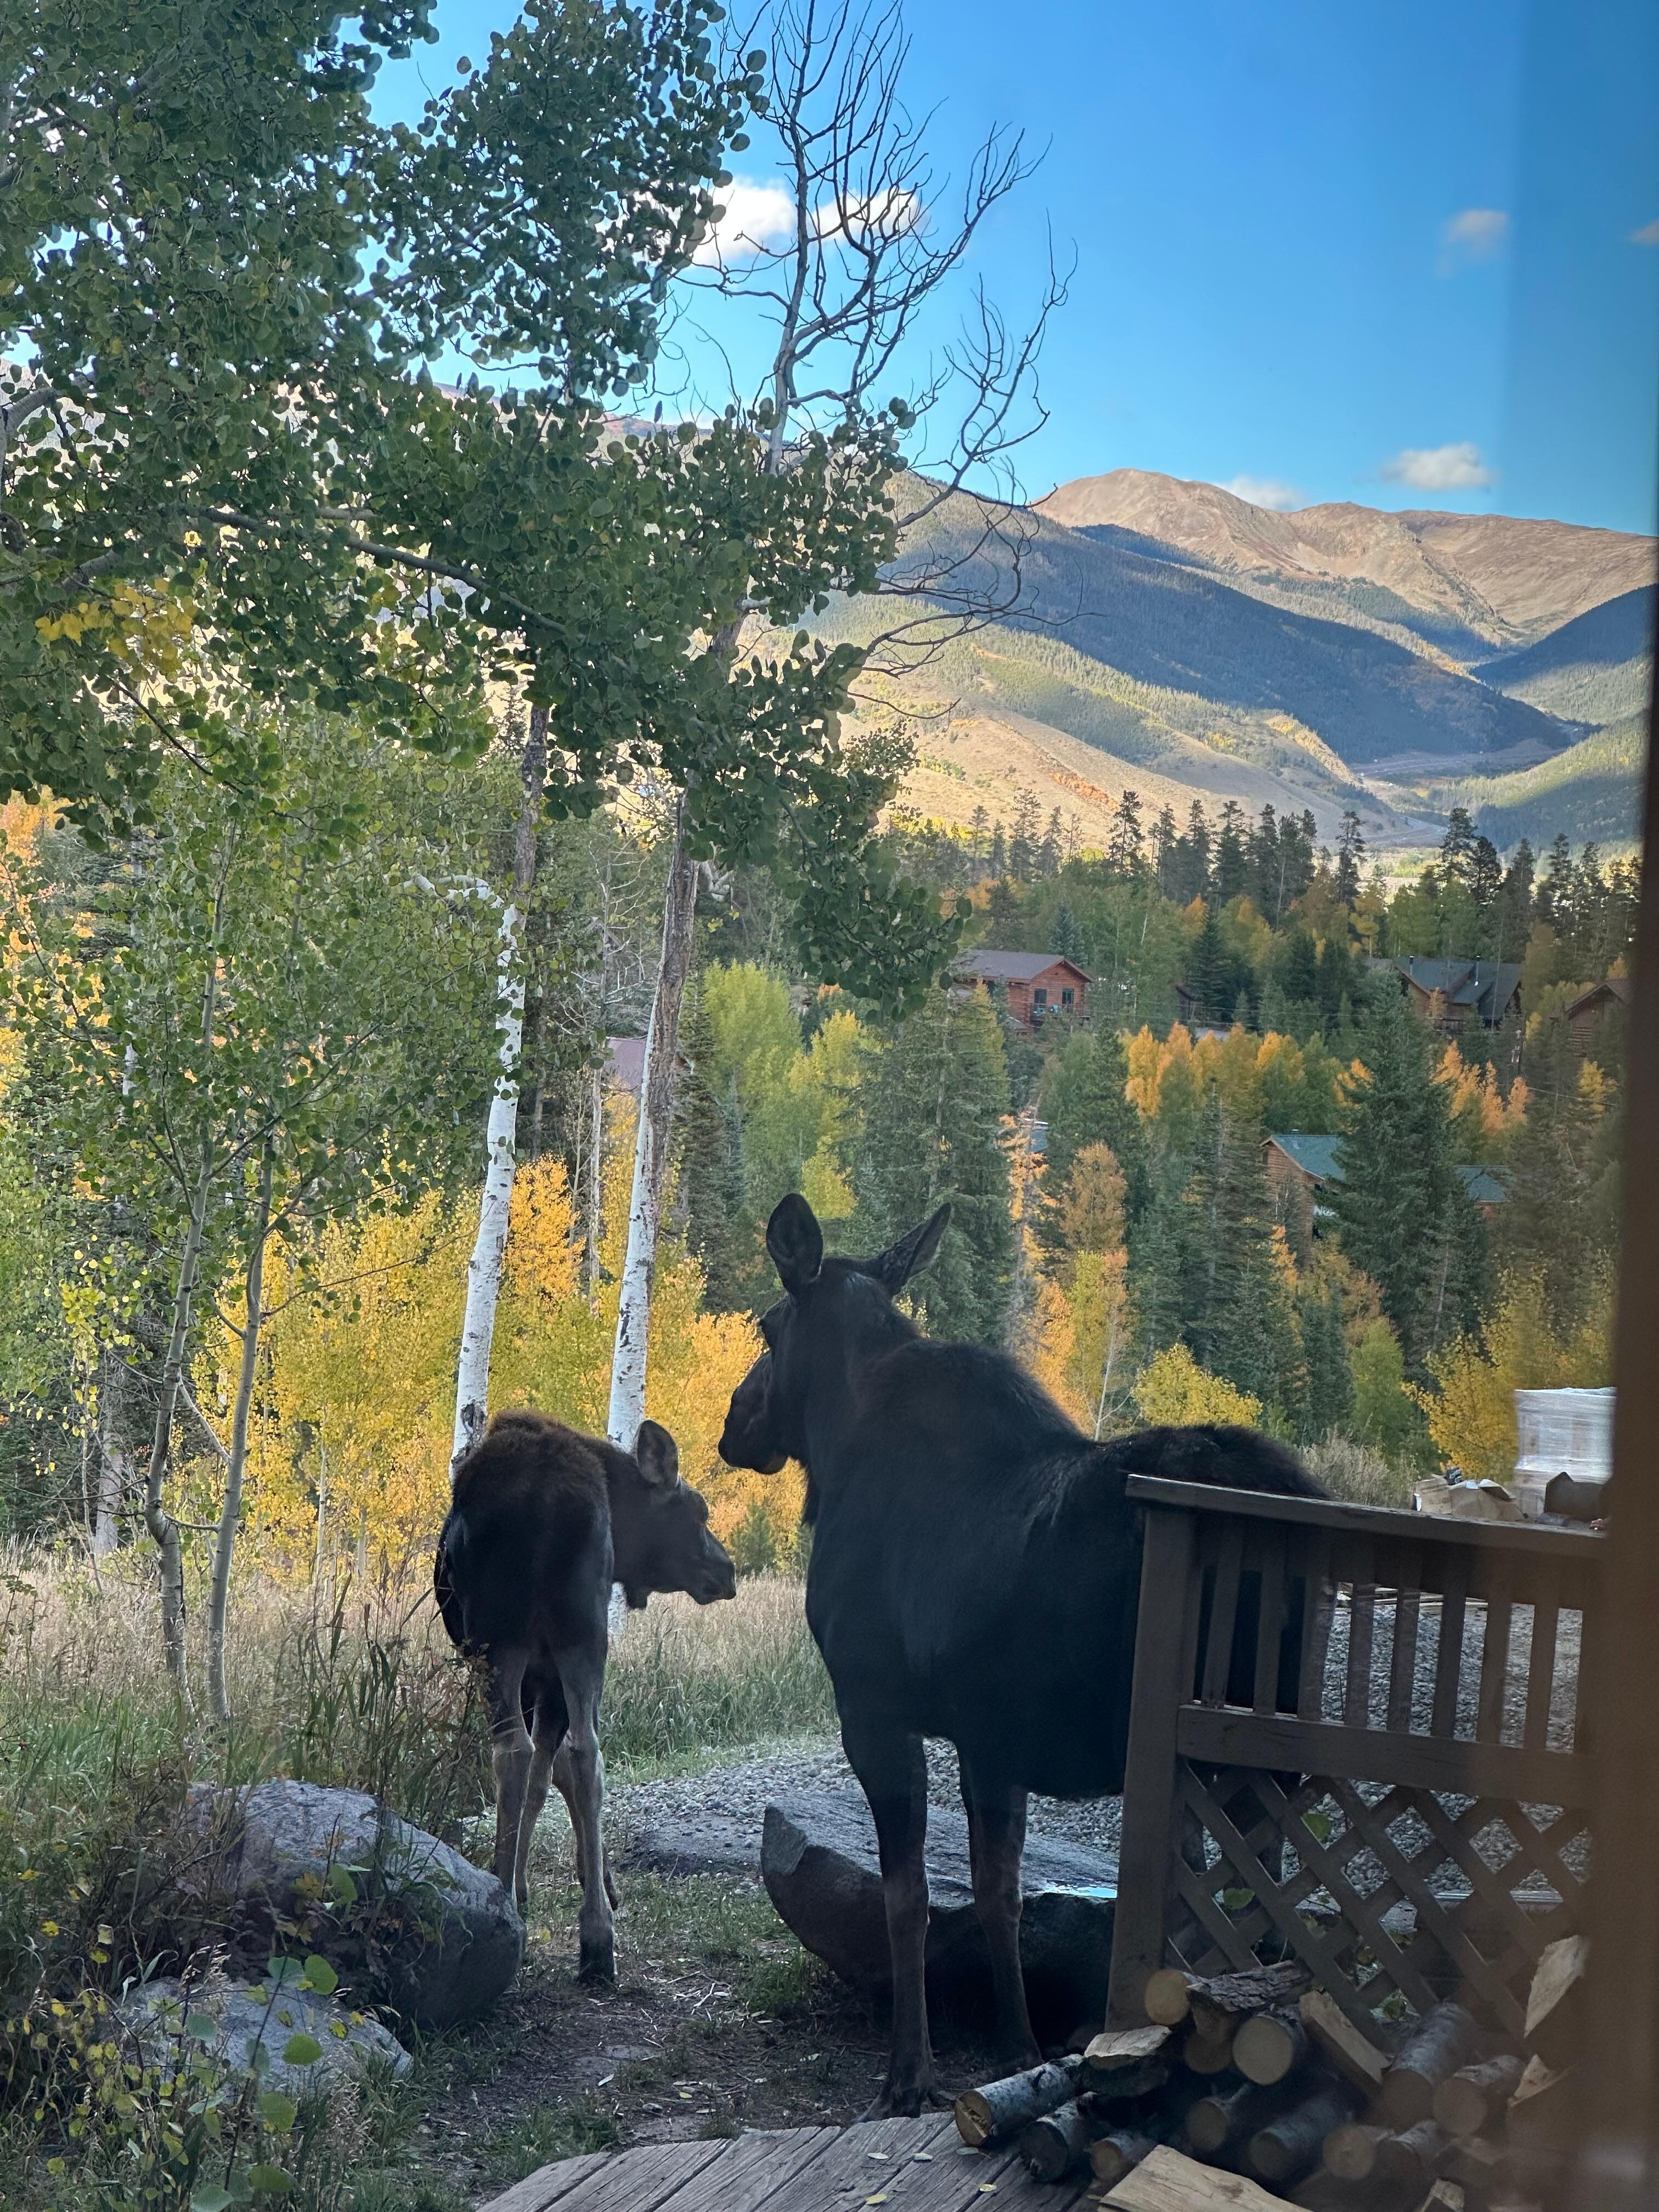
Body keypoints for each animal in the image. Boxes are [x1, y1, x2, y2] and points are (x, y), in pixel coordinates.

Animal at [435, 1409, 736, 1983]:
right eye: (698, 1511)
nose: (728, 1572)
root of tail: (545, 1499)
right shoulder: (549, 1676)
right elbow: (555, 1774)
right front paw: (592, 1882)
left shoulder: (539, 1677)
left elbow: (542, 1778)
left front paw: (532, 1882)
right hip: (576, 1636)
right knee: (578, 1755)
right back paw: (595, 1936)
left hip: (513, 1640)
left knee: (526, 1753)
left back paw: (530, 1908)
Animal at [720, 1191, 1326, 2115]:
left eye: (765, 1325)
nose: (732, 1421)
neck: (836, 1453)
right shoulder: (989, 1737)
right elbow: (997, 1895)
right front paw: (1016, 2044)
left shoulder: (874, 1709)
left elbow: (909, 1900)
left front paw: (910, 2075)